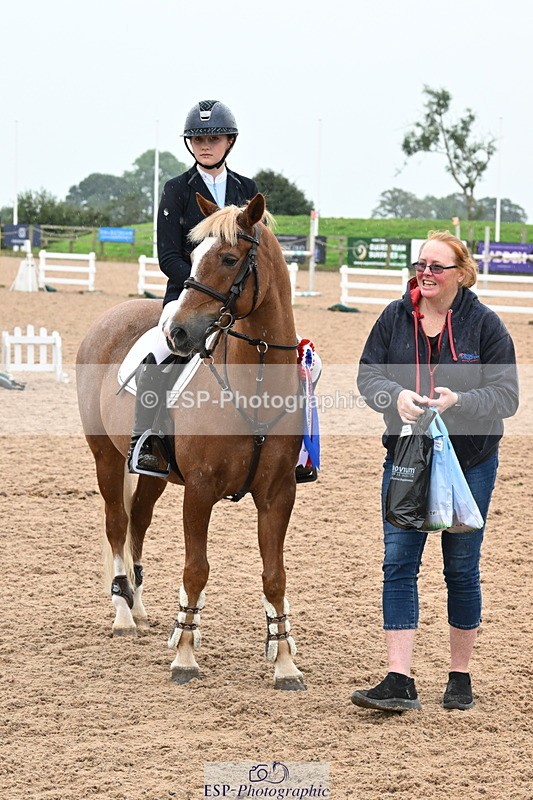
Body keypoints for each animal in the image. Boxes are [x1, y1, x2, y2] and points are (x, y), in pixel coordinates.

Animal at [76, 192, 307, 690]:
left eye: (229, 258)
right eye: (194, 254)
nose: (179, 333)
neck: (254, 384)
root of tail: (111, 317)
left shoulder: (278, 494)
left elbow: (274, 576)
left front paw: (284, 663)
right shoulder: (200, 491)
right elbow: (196, 569)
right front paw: (184, 656)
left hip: (153, 475)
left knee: (138, 523)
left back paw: (141, 608)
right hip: (106, 458)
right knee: (116, 525)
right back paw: (123, 614)